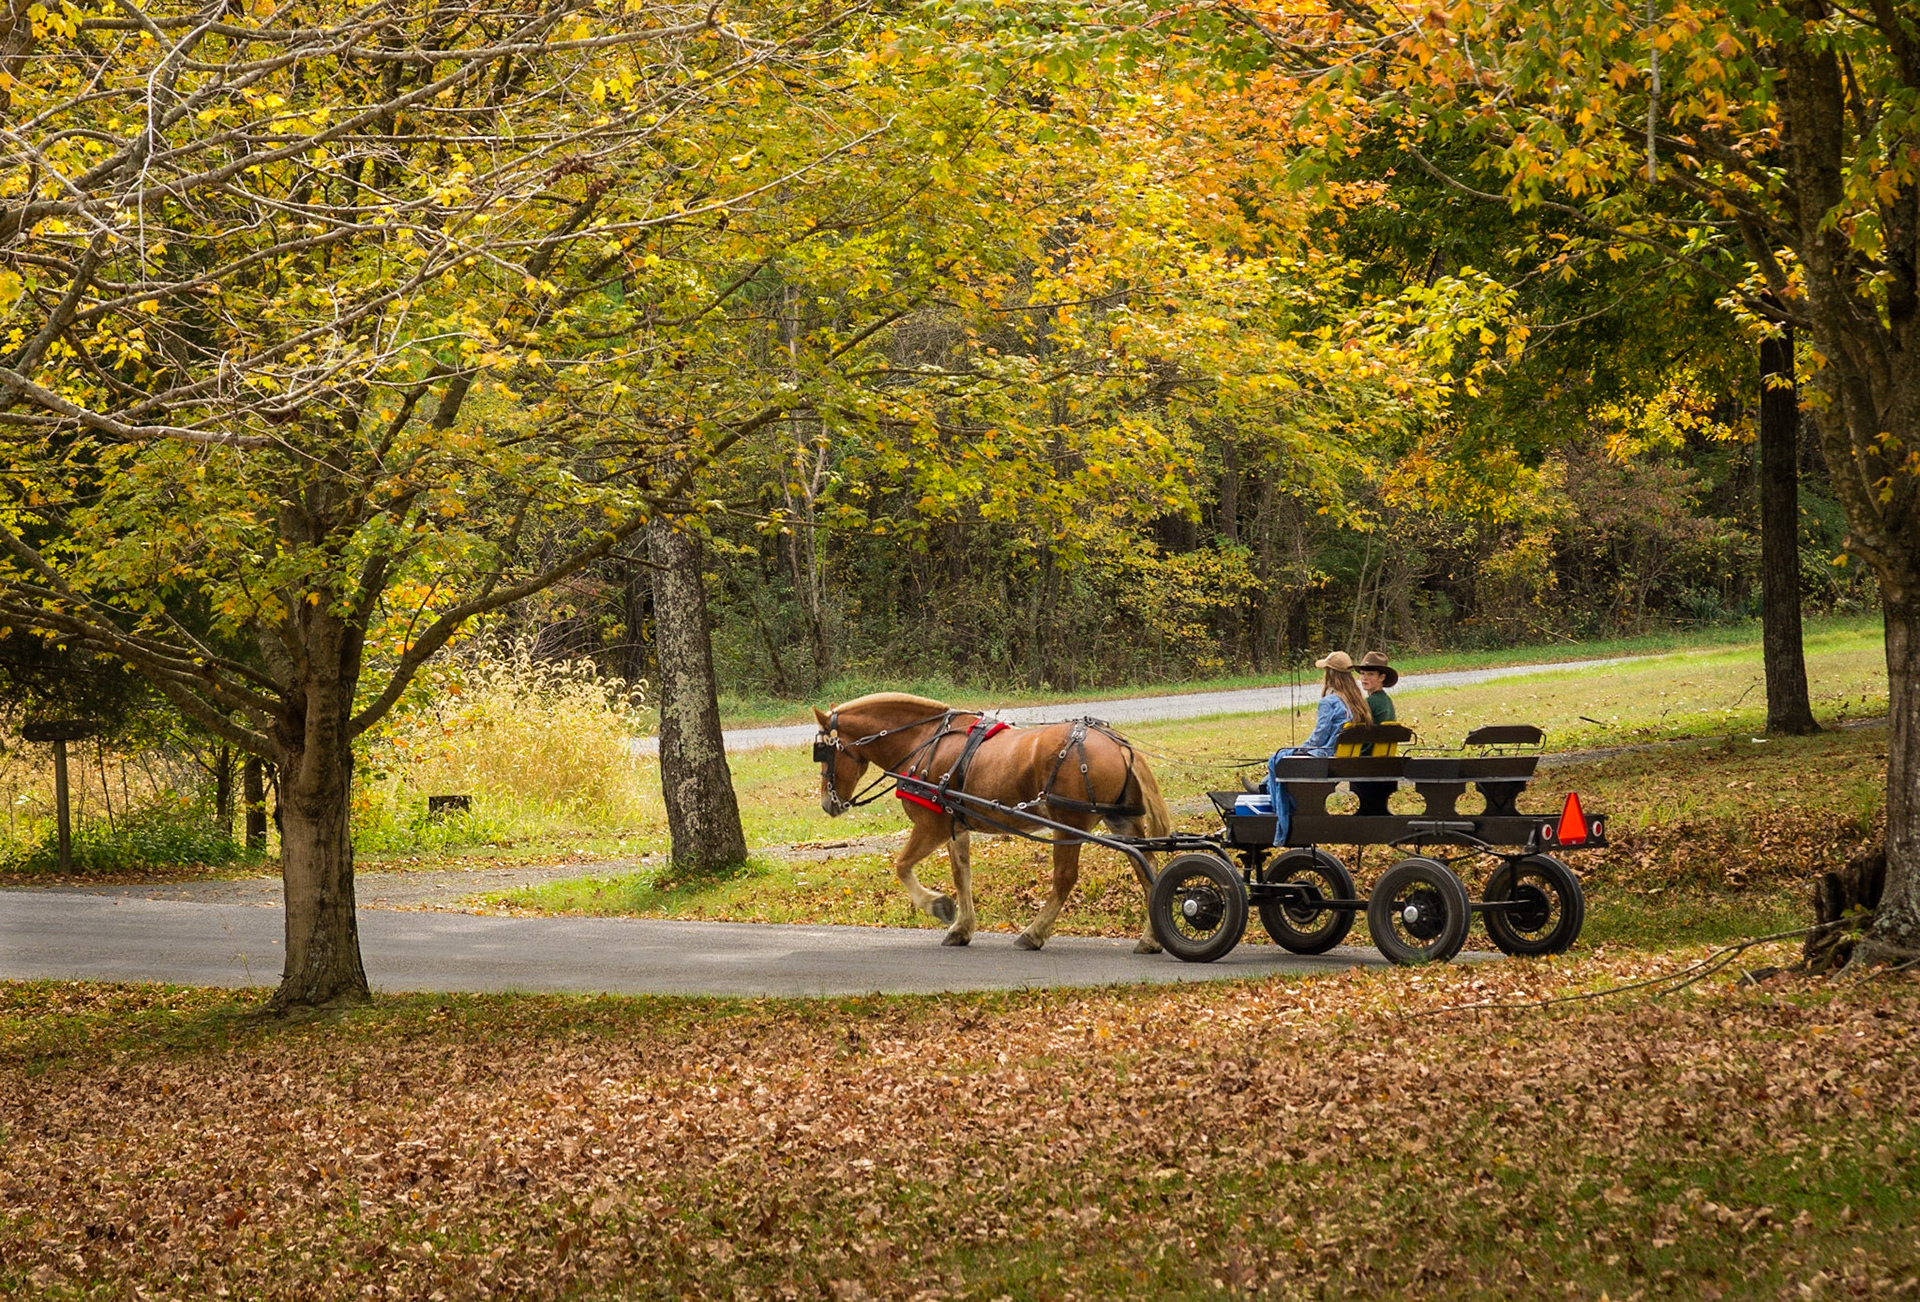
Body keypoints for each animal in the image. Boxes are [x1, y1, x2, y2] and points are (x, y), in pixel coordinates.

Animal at [811, 692, 1172, 951]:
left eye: (823, 752)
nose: (828, 803)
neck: (924, 741)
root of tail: (1118, 743)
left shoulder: (931, 825)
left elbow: (902, 866)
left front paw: (938, 906)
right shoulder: (955, 827)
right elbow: (962, 876)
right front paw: (961, 929)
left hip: (1068, 825)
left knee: (1065, 878)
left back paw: (1033, 933)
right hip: (1120, 821)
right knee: (1148, 870)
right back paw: (1151, 938)